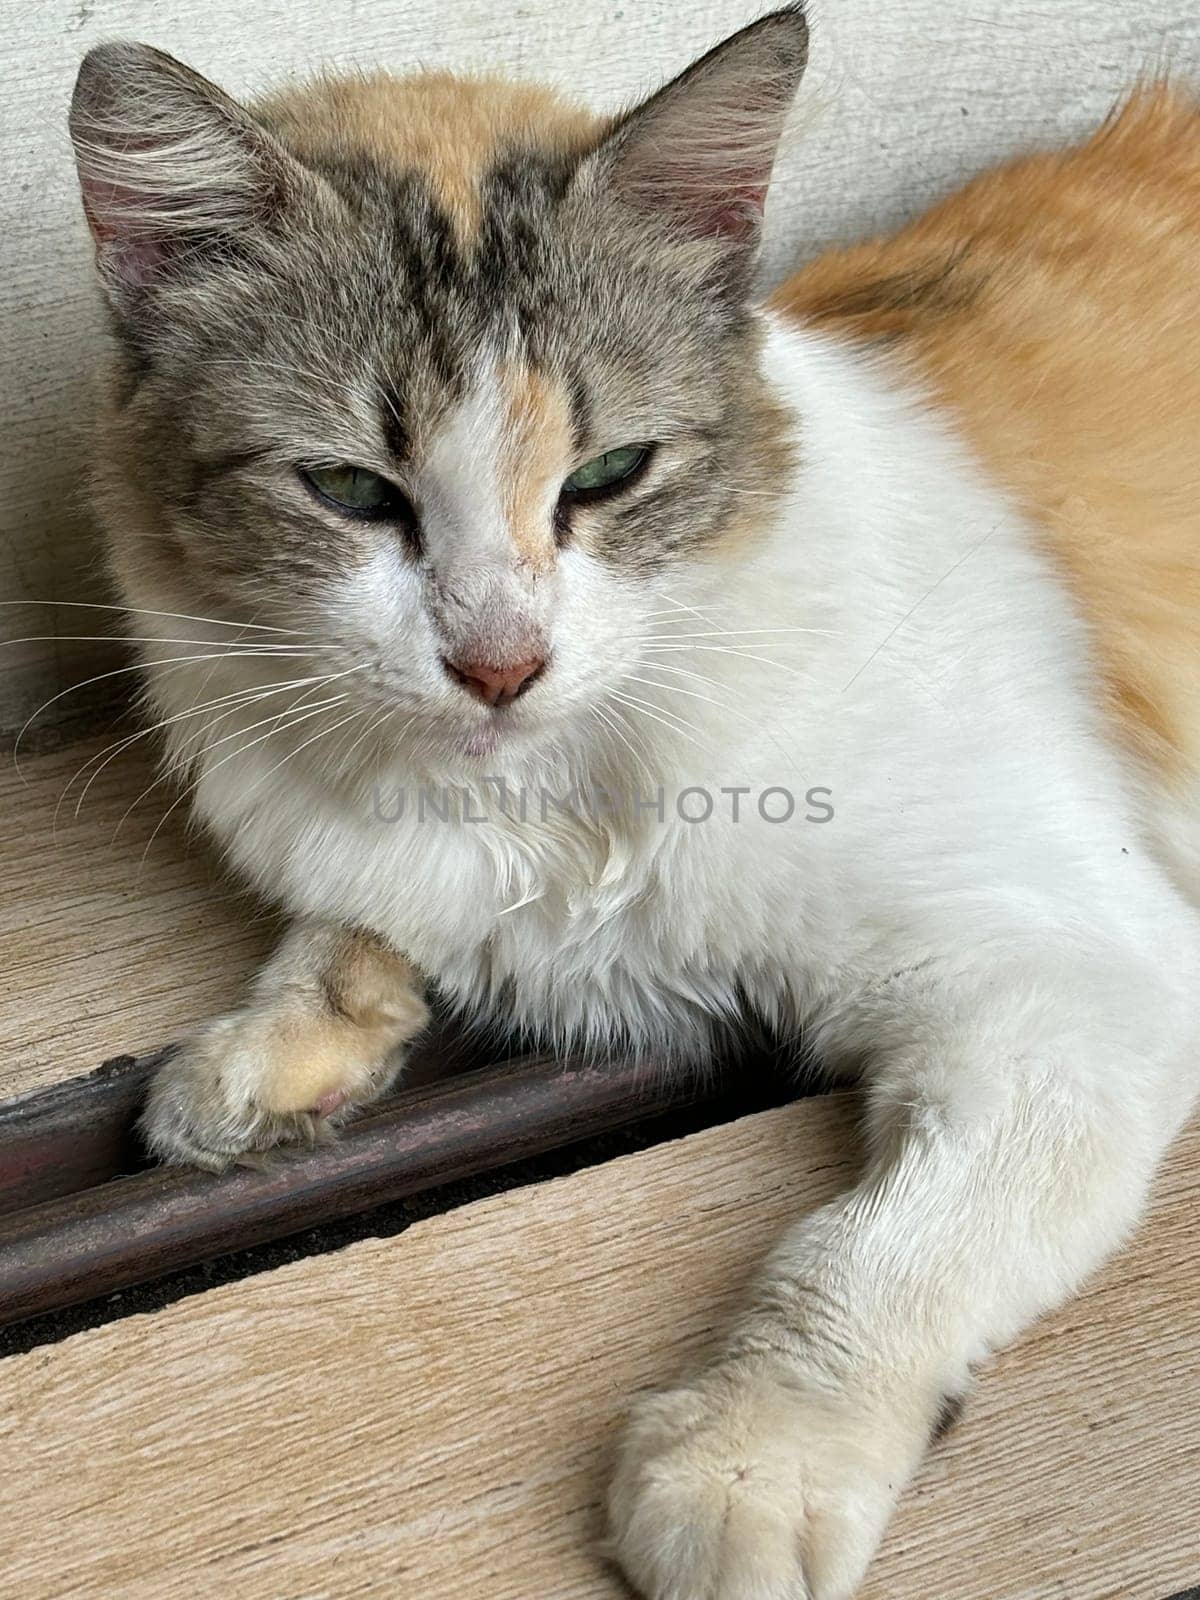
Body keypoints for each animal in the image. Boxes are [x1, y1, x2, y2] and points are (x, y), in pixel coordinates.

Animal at [68, 12, 1200, 1600]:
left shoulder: (1073, 988)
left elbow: (867, 1258)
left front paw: (747, 1466)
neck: (549, 807)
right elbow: (343, 939)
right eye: (349, 489)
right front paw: (259, 1068)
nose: (499, 667)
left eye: (609, 474)